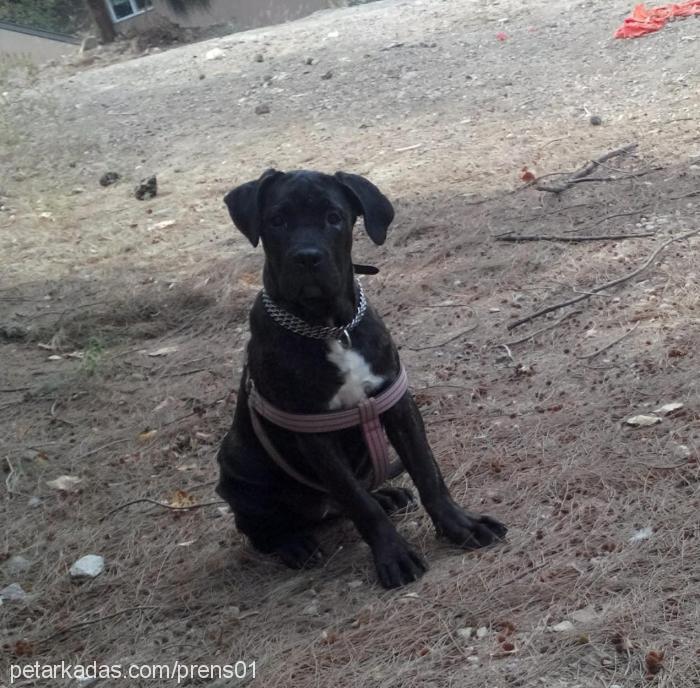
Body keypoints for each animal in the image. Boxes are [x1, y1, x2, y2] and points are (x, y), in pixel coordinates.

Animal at [216, 169, 506, 588]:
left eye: (334, 218)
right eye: (277, 221)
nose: (307, 257)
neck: (330, 328)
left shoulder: (397, 405)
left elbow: (428, 473)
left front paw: (461, 526)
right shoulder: (314, 437)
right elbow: (360, 503)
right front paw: (394, 555)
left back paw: (388, 496)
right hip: (238, 468)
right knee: (261, 528)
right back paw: (294, 544)